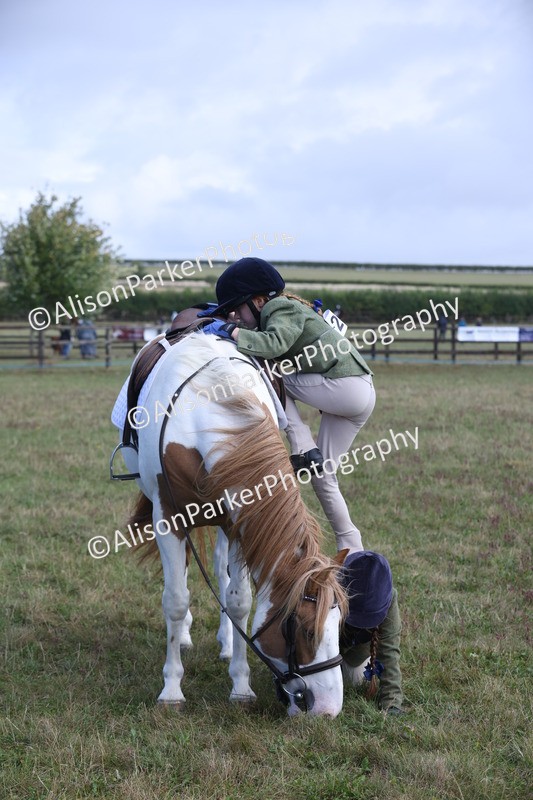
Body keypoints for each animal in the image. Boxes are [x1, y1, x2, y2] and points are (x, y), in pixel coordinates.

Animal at [118, 332, 348, 717]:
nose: (328, 709)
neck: (207, 413)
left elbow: (240, 601)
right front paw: (172, 689)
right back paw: (184, 636)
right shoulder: (168, 518)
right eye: (304, 629)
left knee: (220, 572)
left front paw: (241, 685)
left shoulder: (241, 523)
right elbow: (175, 599)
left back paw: (226, 642)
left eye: (340, 624)